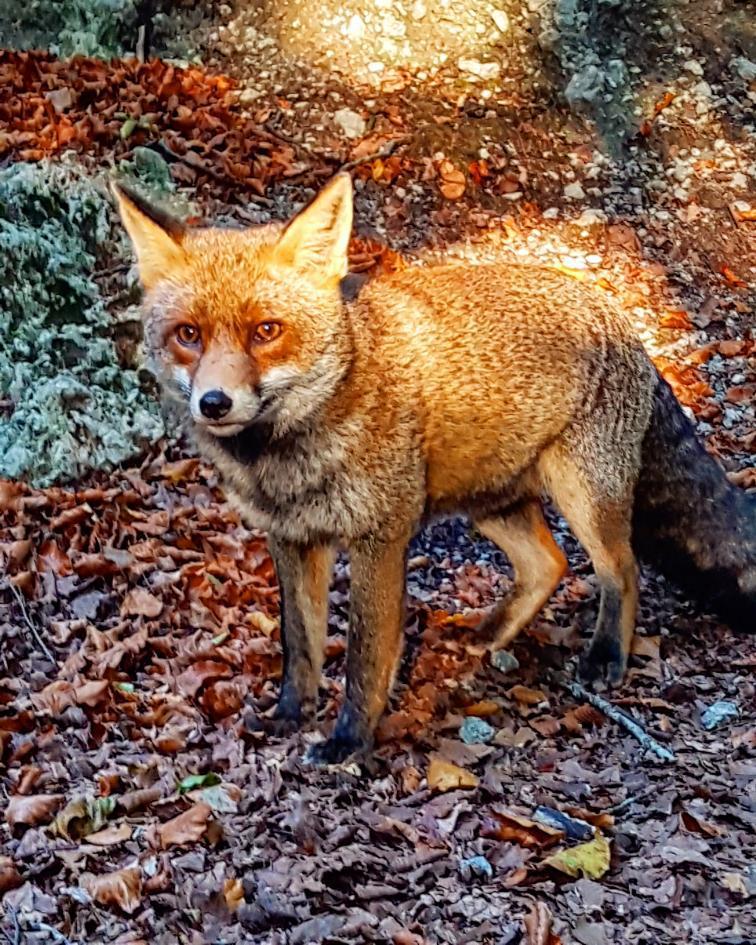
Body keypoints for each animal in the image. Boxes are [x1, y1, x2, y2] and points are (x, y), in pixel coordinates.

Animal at [113, 173, 756, 764]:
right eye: (188, 335)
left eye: (265, 331)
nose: (214, 403)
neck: (290, 458)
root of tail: (615, 313)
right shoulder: (292, 539)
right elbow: (300, 644)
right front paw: (291, 714)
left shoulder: (380, 539)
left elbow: (366, 655)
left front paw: (349, 741)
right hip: (490, 505)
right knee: (548, 564)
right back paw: (490, 633)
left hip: (583, 498)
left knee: (620, 570)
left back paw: (606, 657)